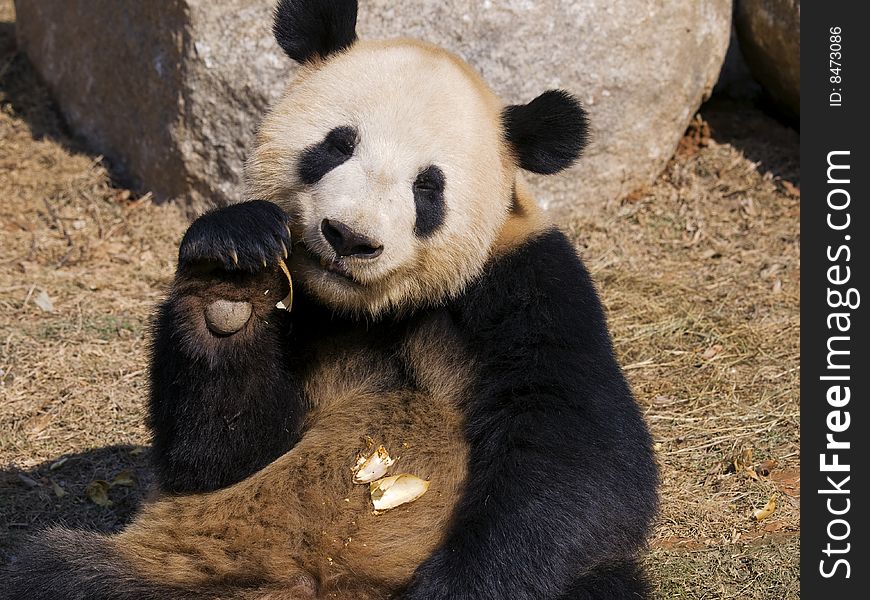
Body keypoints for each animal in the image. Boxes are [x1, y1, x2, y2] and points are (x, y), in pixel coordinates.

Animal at [3, 1, 656, 600]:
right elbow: (219, 455)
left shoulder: (528, 285)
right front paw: (230, 283)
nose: (349, 237)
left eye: (429, 186)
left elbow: (578, 456)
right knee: (57, 573)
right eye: (337, 145)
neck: (370, 307)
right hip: (188, 566)